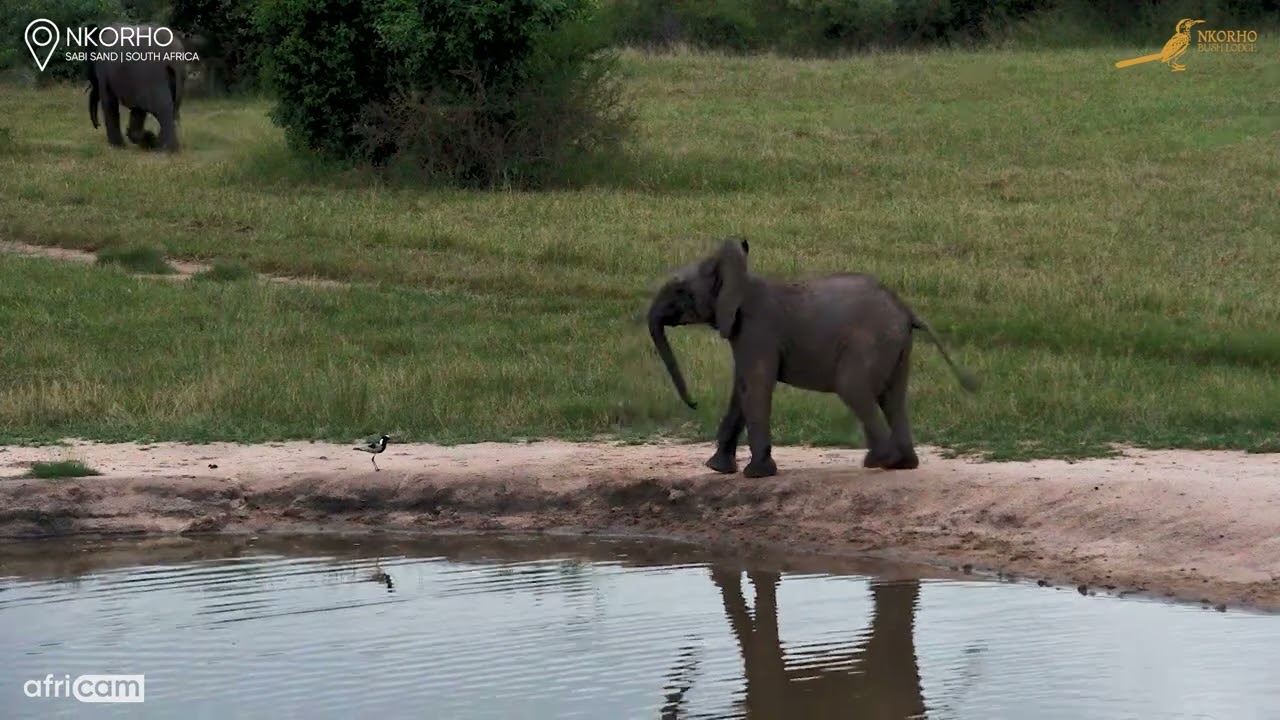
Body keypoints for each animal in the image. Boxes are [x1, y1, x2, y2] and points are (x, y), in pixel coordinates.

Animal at [647, 237, 979, 478]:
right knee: (893, 397)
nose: (695, 404)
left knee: (853, 387)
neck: (741, 277)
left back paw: (881, 460)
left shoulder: (757, 330)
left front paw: (756, 474)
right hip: (897, 346)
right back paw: (900, 463)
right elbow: (741, 389)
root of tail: (907, 310)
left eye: (679, 290)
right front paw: (718, 469)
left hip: (870, 343)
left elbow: (755, 386)